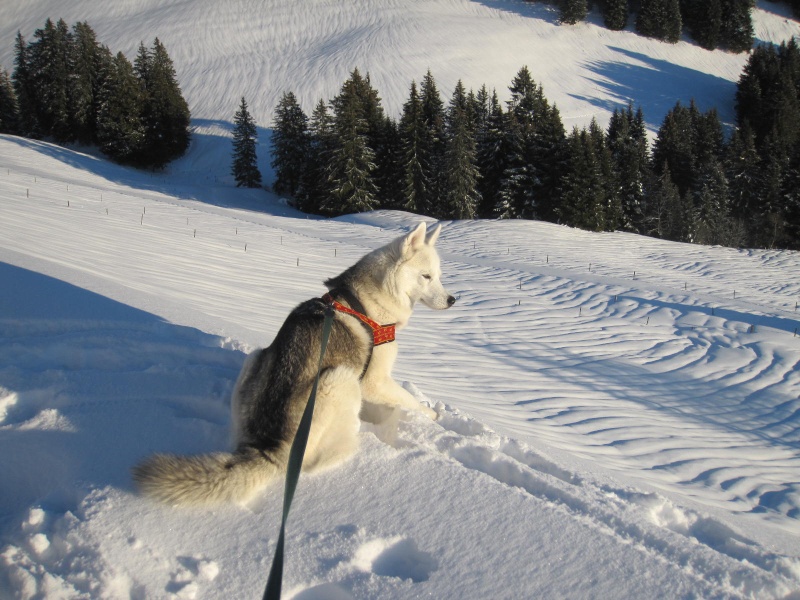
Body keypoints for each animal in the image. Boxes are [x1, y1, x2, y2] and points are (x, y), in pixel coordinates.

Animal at [134, 223, 454, 504]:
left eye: (439, 276)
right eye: (426, 276)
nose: (452, 299)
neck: (367, 302)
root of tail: (269, 447)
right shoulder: (374, 382)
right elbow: (412, 401)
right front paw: (434, 416)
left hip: (257, 357)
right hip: (340, 379)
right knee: (321, 461)